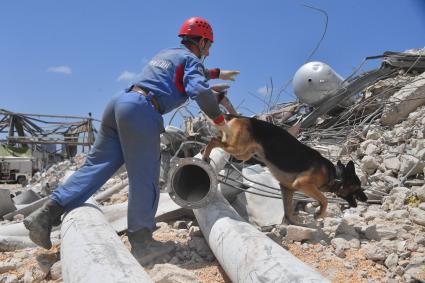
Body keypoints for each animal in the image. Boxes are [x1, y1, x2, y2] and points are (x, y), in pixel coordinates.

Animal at [203, 116, 368, 226]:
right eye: (358, 187)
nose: (366, 199)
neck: (335, 176)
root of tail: (239, 117)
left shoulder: (287, 189)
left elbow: (288, 209)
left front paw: (294, 222)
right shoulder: (304, 184)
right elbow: (324, 199)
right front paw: (318, 214)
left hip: (243, 153)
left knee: (217, 139)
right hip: (238, 149)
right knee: (213, 140)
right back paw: (205, 156)